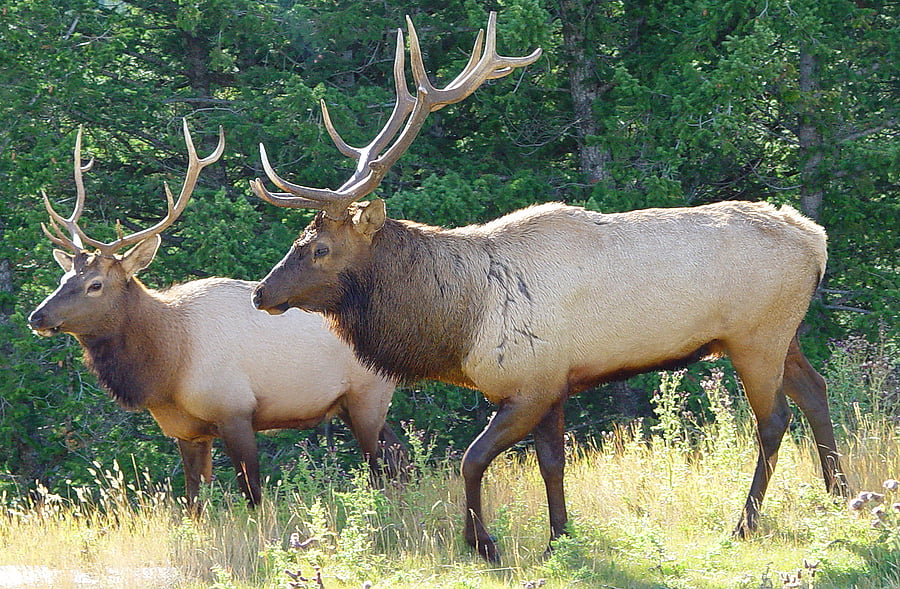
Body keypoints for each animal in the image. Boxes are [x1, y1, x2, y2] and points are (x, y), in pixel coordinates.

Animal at [28, 121, 403, 508]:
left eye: (96, 285)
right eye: (63, 278)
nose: (37, 317)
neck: (169, 366)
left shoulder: (235, 410)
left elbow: (253, 495)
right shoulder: (186, 431)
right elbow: (193, 502)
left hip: (368, 393)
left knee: (384, 463)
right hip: (347, 403)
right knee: (398, 453)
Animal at [248, 12, 850, 562]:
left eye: (320, 249)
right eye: (301, 239)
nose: (261, 293)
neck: (459, 325)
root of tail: (818, 239)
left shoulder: (529, 384)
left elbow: (472, 458)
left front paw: (484, 543)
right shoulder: (555, 382)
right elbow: (552, 464)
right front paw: (559, 539)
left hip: (755, 335)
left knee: (774, 419)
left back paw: (745, 523)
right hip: (783, 332)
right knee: (816, 391)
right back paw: (840, 496)